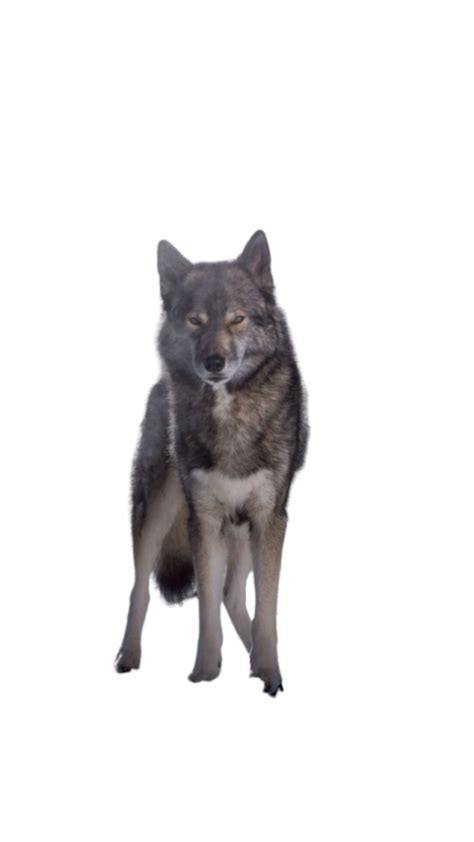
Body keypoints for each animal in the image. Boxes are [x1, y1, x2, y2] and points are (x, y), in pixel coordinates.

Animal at [114, 230, 308, 696]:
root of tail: (157, 385)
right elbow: (205, 612)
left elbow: (267, 607)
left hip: (242, 531)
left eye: (237, 319)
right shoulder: (202, 519)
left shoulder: (270, 517)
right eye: (195, 321)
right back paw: (128, 656)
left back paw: (253, 657)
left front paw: (269, 670)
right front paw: (204, 671)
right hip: (158, 514)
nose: (214, 363)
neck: (229, 411)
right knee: (140, 589)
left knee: (233, 596)